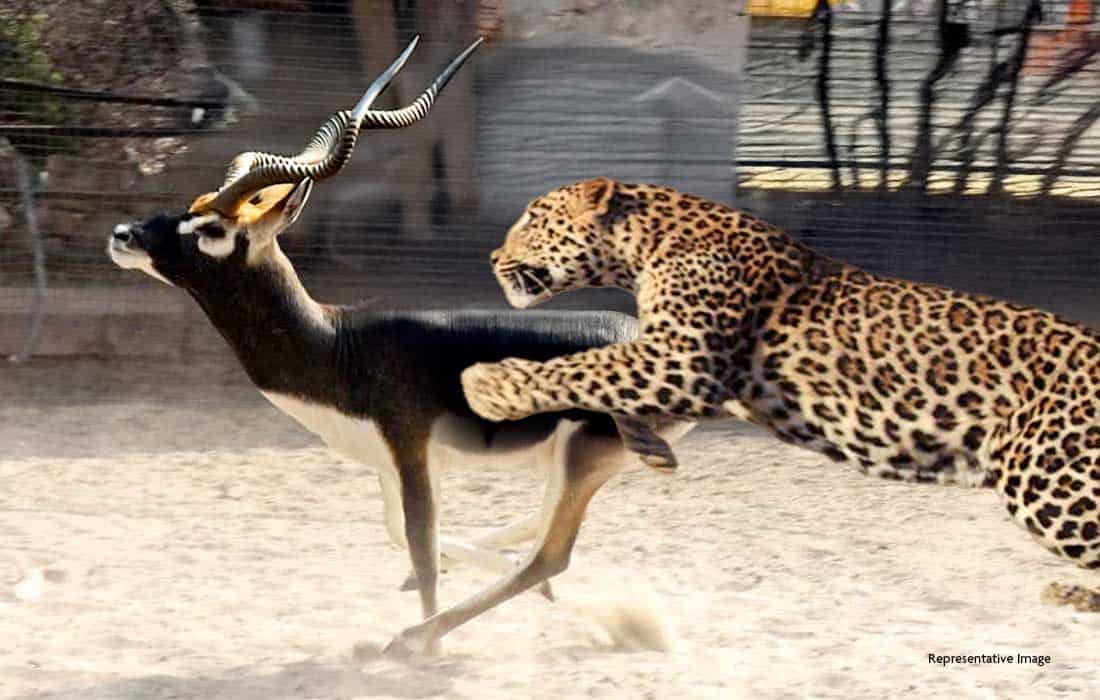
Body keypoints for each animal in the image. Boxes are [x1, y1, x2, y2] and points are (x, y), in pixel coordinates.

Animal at [460, 177, 1100, 610]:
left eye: (533, 219)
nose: (491, 256)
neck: (645, 247)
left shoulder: (682, 359)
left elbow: (581, 365)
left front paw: (489, 386)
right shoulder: (668, 360)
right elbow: (608, 382)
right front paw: (651, 450)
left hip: (1048, 480)